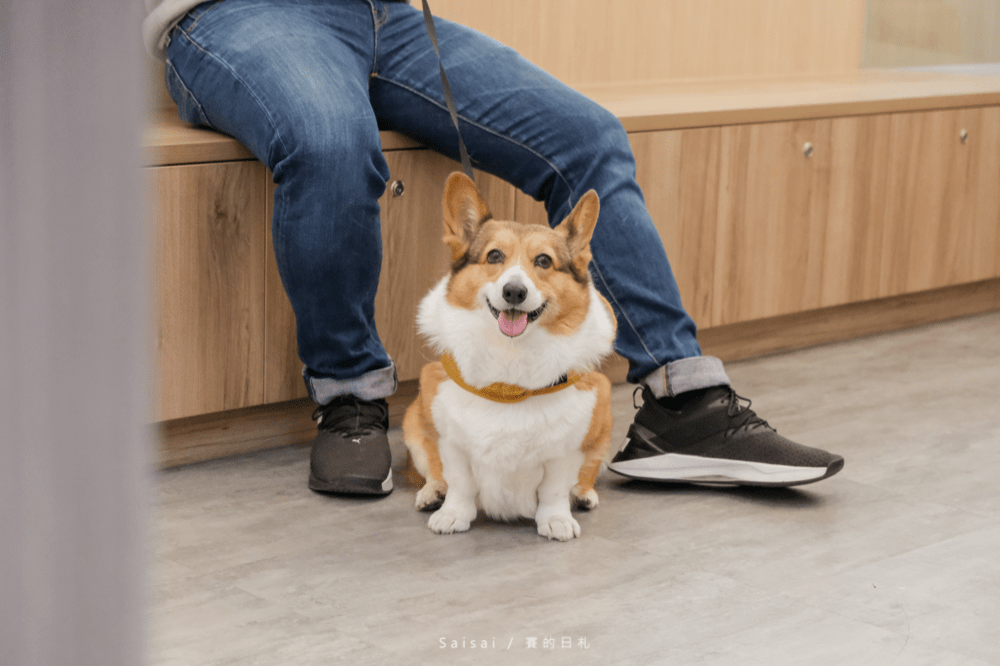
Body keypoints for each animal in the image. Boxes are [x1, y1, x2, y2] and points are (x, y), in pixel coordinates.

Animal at [402, 171, 612, 540]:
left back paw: (583, 495)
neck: (510, 372)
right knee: (433, 471)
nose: (514, 291)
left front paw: (556, 520)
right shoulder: (451, 441)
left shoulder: (566, 448)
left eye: (543, 260)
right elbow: (458, 481)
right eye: (494, 256)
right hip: (414, 421)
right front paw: (453, 514)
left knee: (585, 475)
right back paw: (432, 493)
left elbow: (554, 489)